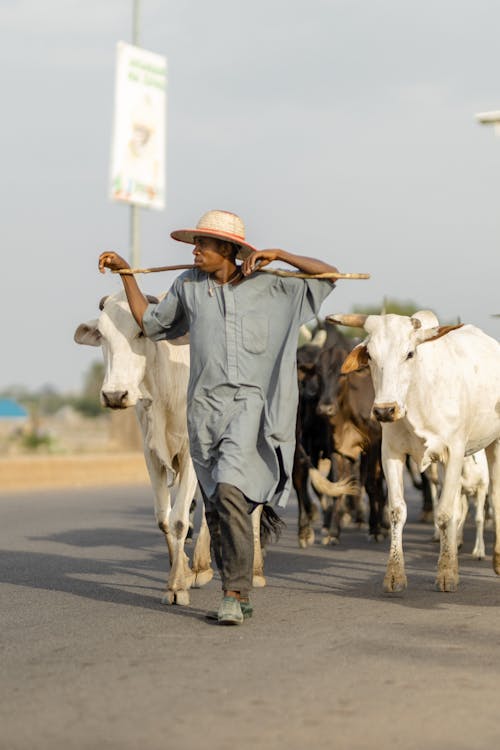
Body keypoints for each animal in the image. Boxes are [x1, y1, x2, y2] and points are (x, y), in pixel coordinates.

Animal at [73, 290, 212, 608]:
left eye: (140, 332)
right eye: (103, 335)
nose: (114, 395)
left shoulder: (191, 453)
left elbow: (179, 520)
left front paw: (177, 586)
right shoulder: (151, 454)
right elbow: (163, 519)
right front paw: (179, 573)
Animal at [328, 312, 500, 592]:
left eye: (409, 353)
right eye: (370, 355)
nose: (385, 410)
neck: (418, 396)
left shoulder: (454, 451)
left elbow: (445, 513)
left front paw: (445, 575)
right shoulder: (391, 454)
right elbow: (398, 511)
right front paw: (395, 575)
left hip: (493, 443)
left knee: (493, 499)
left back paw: (494, 559)